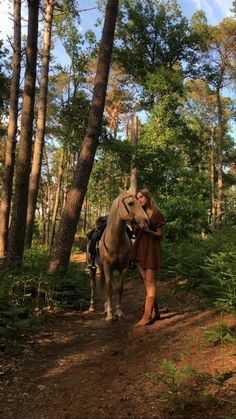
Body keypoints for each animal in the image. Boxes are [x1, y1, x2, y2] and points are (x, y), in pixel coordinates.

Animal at [86, 189, 149, 324]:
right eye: (130, 203)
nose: (146, 221)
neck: (116, 240)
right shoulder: (108, 267)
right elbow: (109, 289)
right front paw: (110, 315)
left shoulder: (123, 267)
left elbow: (119, 288)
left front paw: (118, 312)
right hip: (93, 267)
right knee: (93, 285)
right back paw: (92, 307)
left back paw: (105, 307)